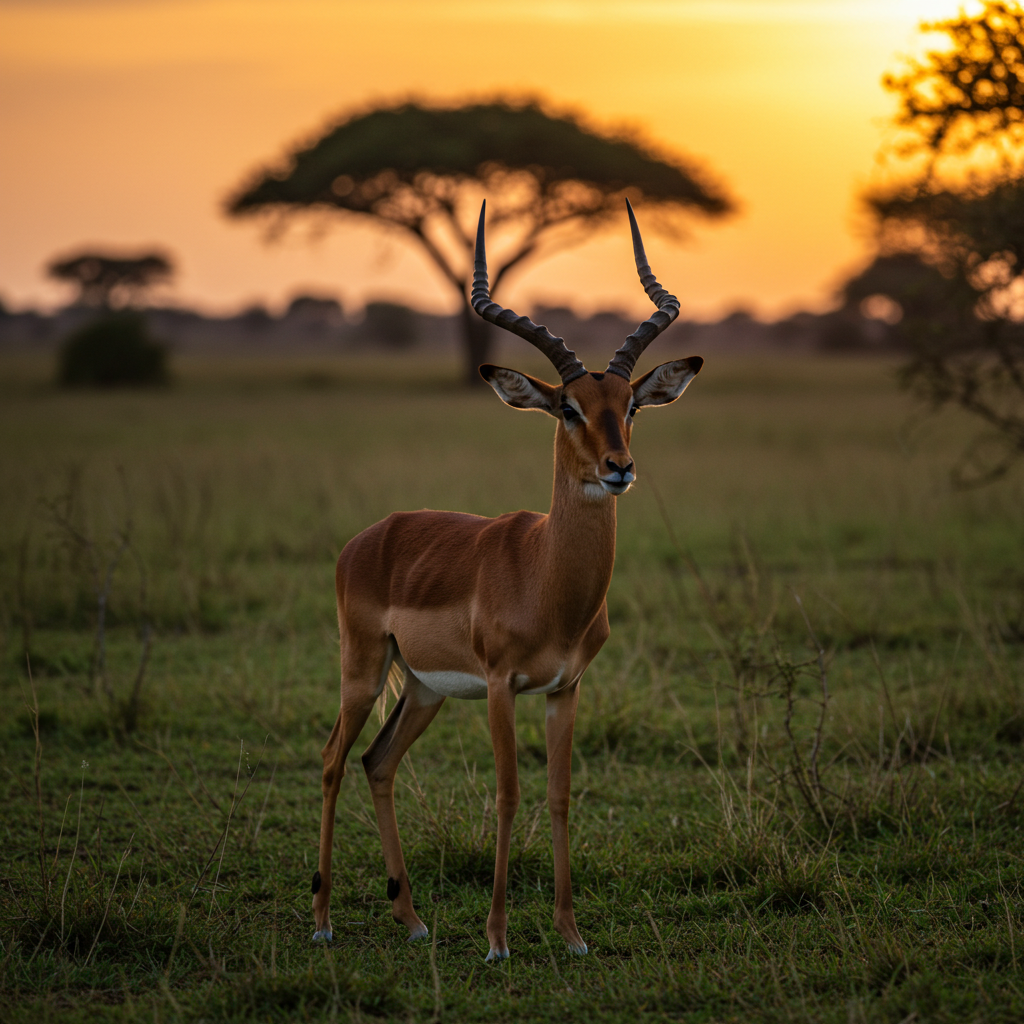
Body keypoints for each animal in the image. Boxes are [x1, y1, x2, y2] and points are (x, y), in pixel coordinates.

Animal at [311, 199, 702, 961]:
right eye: (568, 408)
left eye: (630, 405)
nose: (619, 468)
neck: (547, 578)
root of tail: (373, 534)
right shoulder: (499, 686)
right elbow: (508, 793)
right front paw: (496, 939)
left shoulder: (565, 688)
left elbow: (559, 795)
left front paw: (572, 933)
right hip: (364, 670)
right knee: (333, 760)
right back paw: (321, 919)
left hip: (425, 689)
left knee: (378, 762)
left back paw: (412, 919)